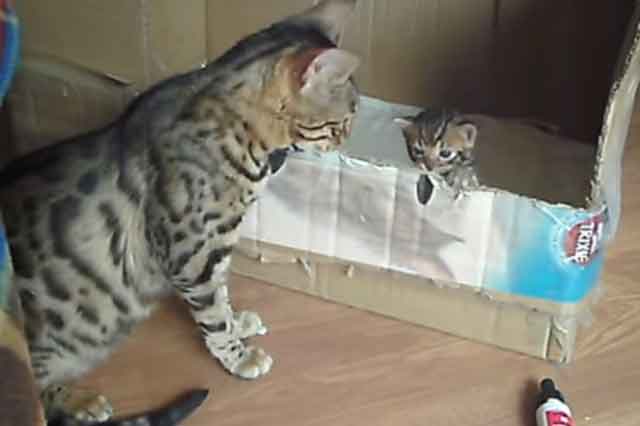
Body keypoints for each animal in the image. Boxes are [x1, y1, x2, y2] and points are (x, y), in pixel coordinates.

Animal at [0, 0, 360, 423]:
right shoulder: (193, 256)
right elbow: (214, 317)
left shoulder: (214, 254)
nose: (346, 140)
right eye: (342, 122)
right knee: (39, 394)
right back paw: (82, 401)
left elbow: (223, 297)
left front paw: (239, 323)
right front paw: (238, 356)